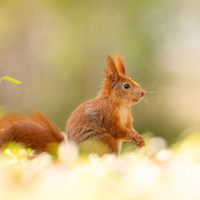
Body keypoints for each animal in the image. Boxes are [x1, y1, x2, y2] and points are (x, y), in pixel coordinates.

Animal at [0, 53, 145, 155]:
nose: (143, 93)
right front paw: (133, 135)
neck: (121, 105)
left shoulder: (127, 118)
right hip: (102, 140)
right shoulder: (107, 113)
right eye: (126, 86)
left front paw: (140, 139)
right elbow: (117, 130)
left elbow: (129, 127)